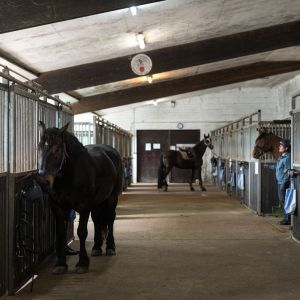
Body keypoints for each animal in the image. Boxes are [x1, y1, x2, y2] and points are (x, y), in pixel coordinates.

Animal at [37, 121, 123, 274]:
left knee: (110, 219)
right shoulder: (58, 207)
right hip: (97, 202)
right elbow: (60, 233)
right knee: (97, 220)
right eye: (39, 148)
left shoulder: (83, 206)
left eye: (57, 150)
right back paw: (96, 247)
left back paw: (110, 248)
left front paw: (82, 263)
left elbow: (82, 232)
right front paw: (60, 264)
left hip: (111, 198)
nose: (43, 181)